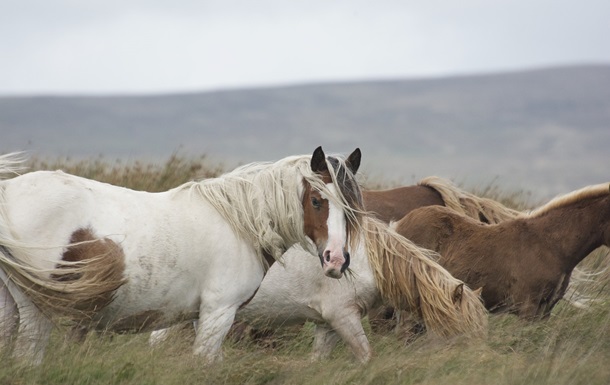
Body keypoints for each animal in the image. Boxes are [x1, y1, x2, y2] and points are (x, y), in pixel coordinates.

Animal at [0, 146, 360, 364]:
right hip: (37, 309)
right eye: (317, 200)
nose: (336, 260)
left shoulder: (203, 315)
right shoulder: (218, 312)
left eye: (352, 206)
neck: (239, 221)